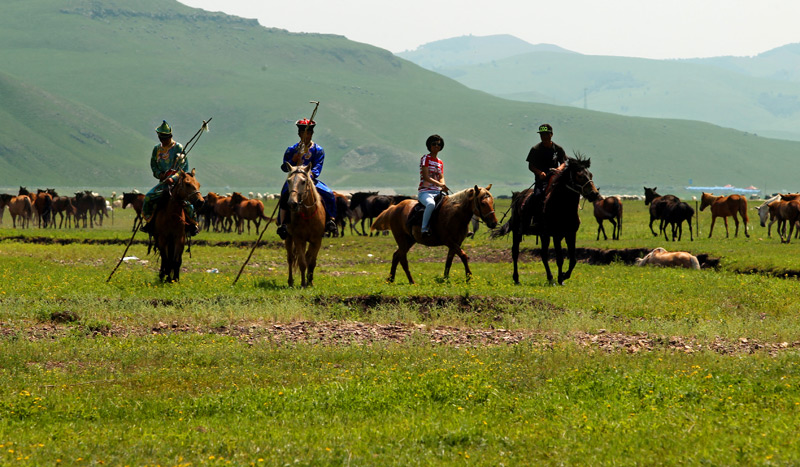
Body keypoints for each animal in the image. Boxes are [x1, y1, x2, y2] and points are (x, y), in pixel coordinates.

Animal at [494, 155, 600, 286]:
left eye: (591, 175)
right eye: (580, 176)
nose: (594, 194)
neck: (563, 207)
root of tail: (517, 196)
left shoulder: (570, 234)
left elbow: (573, 259)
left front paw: (564, 276)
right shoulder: (556, 236)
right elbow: (559, 259)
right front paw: (561, 278)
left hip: (543, 235)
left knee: (543, 255)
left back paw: (550, 278)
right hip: (517, 232)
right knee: (515, 252)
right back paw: (517, 278)